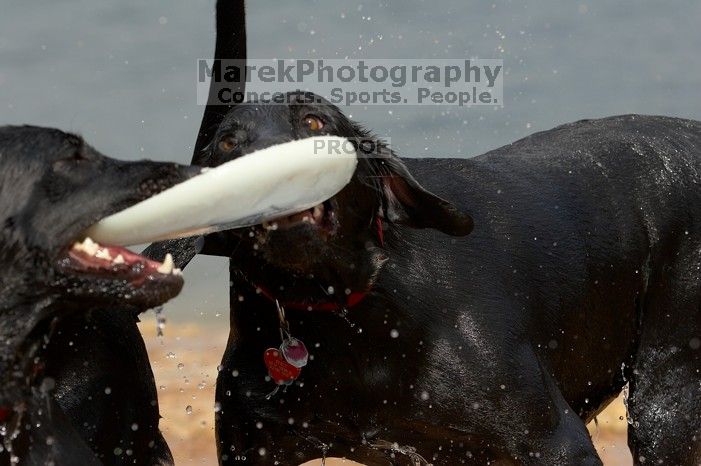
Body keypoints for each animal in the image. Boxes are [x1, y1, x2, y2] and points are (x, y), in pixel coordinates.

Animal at [153, 93, 700, 462]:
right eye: (228, 142)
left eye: (313, 120)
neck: (348, 312)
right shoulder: (253, 446)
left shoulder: (555, 442)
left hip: (664, 406)